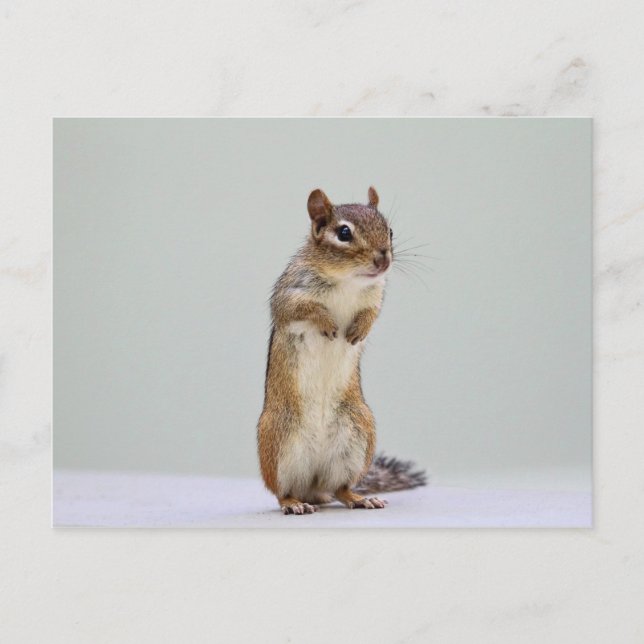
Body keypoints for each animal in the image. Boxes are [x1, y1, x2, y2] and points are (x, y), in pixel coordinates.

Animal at [257, 187, 425, 515]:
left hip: (358, 434)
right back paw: (293, 504)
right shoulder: (290, 291)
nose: (383, 259)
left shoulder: (375, 297)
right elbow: (301, 308)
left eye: (389, 230)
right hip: (277, 439)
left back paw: (360, 498)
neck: (347, 280)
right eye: (344, 233)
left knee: (340, 488)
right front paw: (327, 322)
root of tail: (312, 487)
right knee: (282, 491)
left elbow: (371, 314)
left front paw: (359, 330)